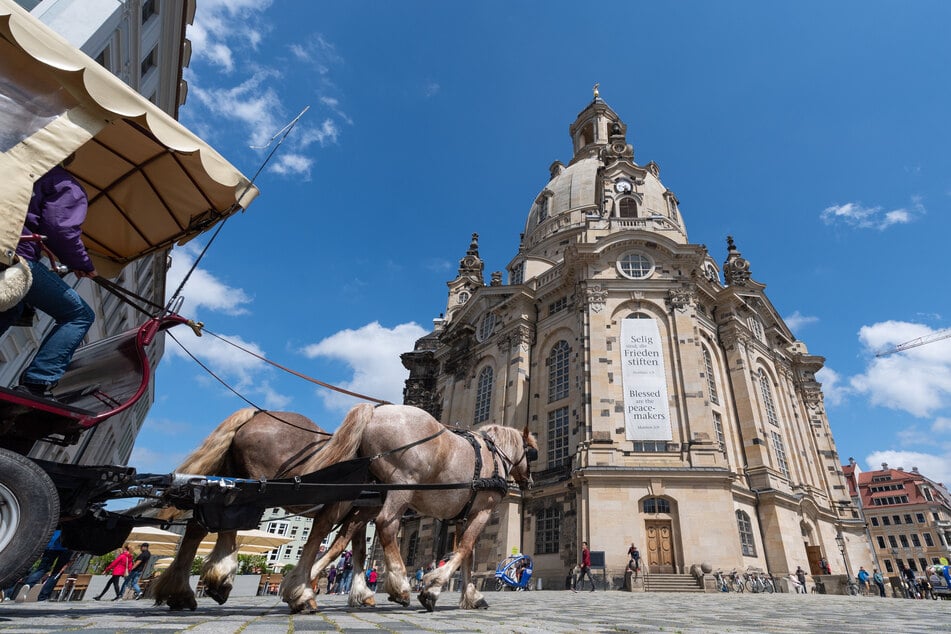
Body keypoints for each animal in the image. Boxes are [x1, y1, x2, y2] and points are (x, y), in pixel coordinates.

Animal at [147, 408, 366, 608]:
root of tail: (256, 414)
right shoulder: (348, 509)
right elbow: (330, 544)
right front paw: (301, 590)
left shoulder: (360, 512)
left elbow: (357, 549)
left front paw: (361, 593)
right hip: (258, 485)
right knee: (228, 521)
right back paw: (218, 577)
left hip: (228, 477)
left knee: (198, 527)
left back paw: (184, 590)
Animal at [280, 402, 536, 608]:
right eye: (532, 453)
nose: (529, 482)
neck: (494, 456)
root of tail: (374, 411)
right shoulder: (482, 511)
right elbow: (464, 548)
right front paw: (432, 586)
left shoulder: (464, 515)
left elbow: (468, 554)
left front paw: (471, 596)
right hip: (401, 486)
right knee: (385, 525)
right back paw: (400, 587)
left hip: (361, 492)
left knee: (328, 528)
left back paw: (300, 589)